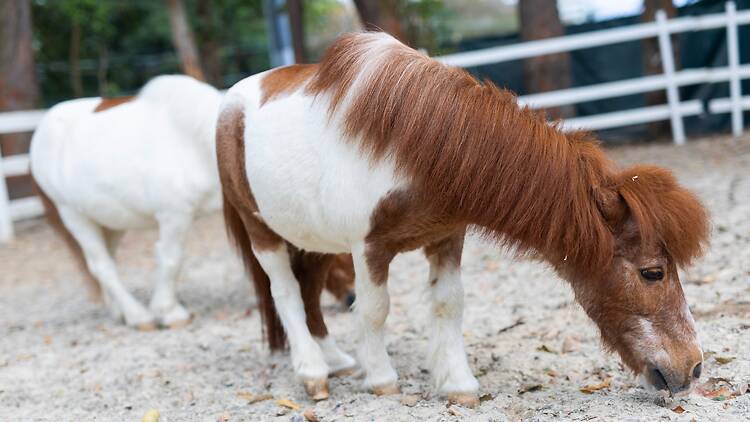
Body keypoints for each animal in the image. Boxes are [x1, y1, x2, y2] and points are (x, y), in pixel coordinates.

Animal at [30, 75, 354, 331]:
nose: (353, 297)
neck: (194, 142)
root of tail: (41, 129)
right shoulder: (174, 215)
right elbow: (172, 259)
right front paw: (168, 312)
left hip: (108, 221)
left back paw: (119, 311)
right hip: (73, 216)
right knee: (102, 266)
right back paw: (137, 316)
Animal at [217, 32, 710, 406]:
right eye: (652, 272)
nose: (694, 367)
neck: (412, 145)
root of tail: (231, 101)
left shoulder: (447, 237)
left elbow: (449, 304)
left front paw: (457, 384)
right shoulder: (368, 247)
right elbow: (375, 309)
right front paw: (383, 380)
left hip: (315, 239)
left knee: (310, 291)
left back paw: (336, 359)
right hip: (263, 233)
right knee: (285, 293)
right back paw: (314, 372)